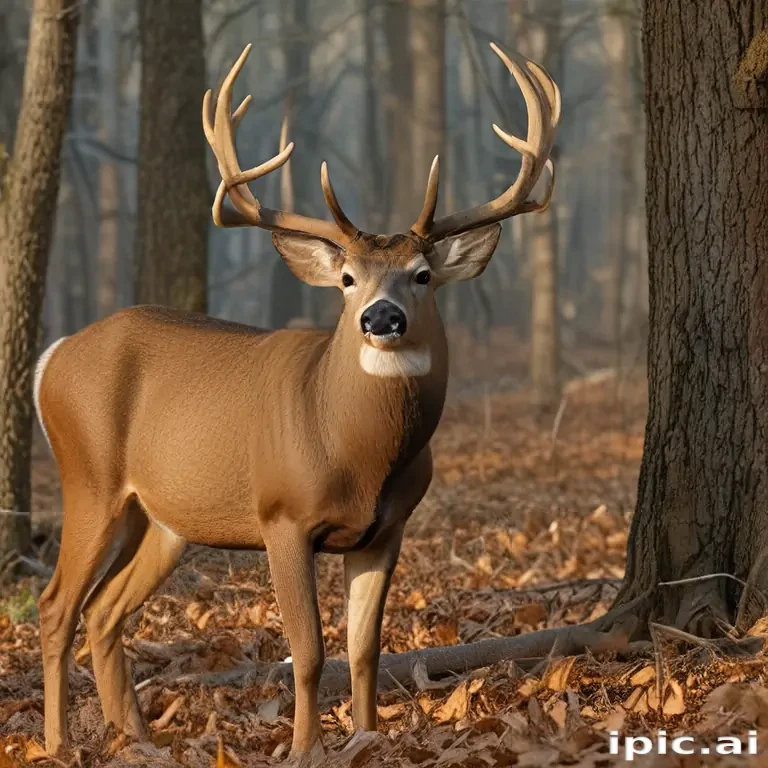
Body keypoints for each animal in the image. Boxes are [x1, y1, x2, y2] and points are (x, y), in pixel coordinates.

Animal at [35, 41, 559, 758]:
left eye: (422, 275)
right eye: (347, 279)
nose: (382, 317)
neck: (355, 450)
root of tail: (53, 357)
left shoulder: (386, 528)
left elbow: (364, 649)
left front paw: (368, 739)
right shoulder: (282, 515)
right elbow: (308, 652)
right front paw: (305, 748)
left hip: (163, 516)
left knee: (104, 609)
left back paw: (135, 739)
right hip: (87, 476)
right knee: (57, 605)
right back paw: (59, 743)